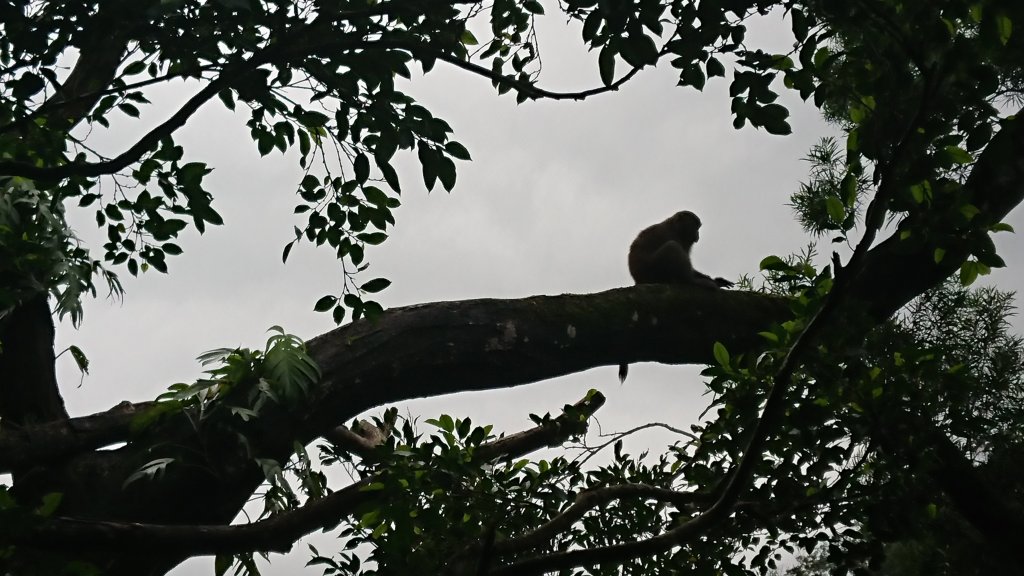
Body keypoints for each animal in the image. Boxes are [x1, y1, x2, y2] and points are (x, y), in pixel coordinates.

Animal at [618, 208, 733, 379]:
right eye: (696, 227)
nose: (698, 235)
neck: (675, 227)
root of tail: (639, 280)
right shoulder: (669, 235)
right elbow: (675, 248)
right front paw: (699, 280)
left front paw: (715, 280)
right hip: (654, 270)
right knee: (671, 248)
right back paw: (690, 281)